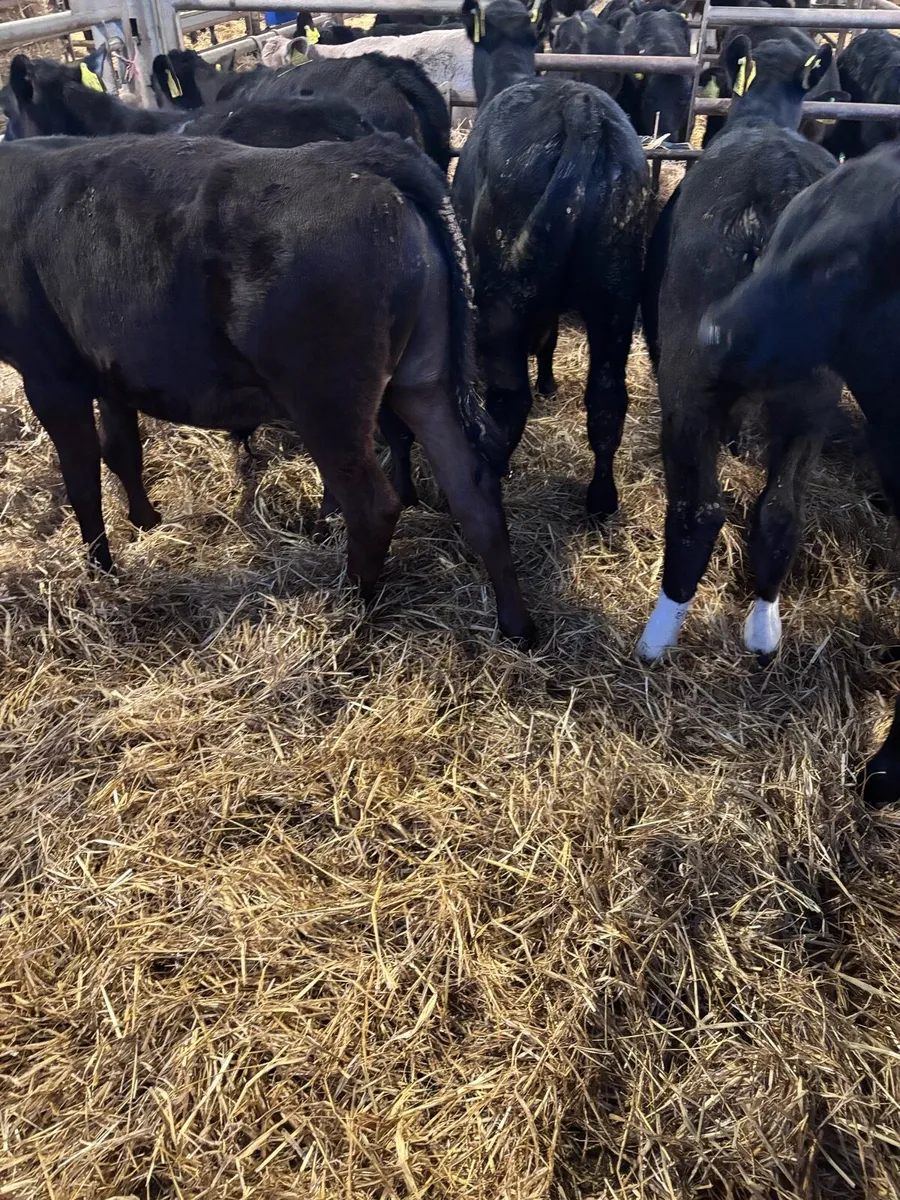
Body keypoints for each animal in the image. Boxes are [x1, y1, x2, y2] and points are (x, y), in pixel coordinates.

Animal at [0, 133, 536, 646]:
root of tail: (362, 156)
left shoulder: (51, 377)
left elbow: (82, 479)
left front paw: (101, 570)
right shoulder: (109, 372)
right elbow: (122, 450)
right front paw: (145, 522)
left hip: (327, 399)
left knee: (372, 506)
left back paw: (348, 609)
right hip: (423, 381)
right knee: (472, 488)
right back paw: (516, 626)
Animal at [452, 0, 648, 522]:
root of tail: (582, 113)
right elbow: (551, 335)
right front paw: (550, 381)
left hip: (504, 291)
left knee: (508, 400)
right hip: (616, 294)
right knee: (607, 398)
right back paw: (602, 499)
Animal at [637, 36, 840, 662]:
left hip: (689, 381)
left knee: (699, 511)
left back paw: (657, 636)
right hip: (815, 396)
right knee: (779, 512)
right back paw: (763, 632)